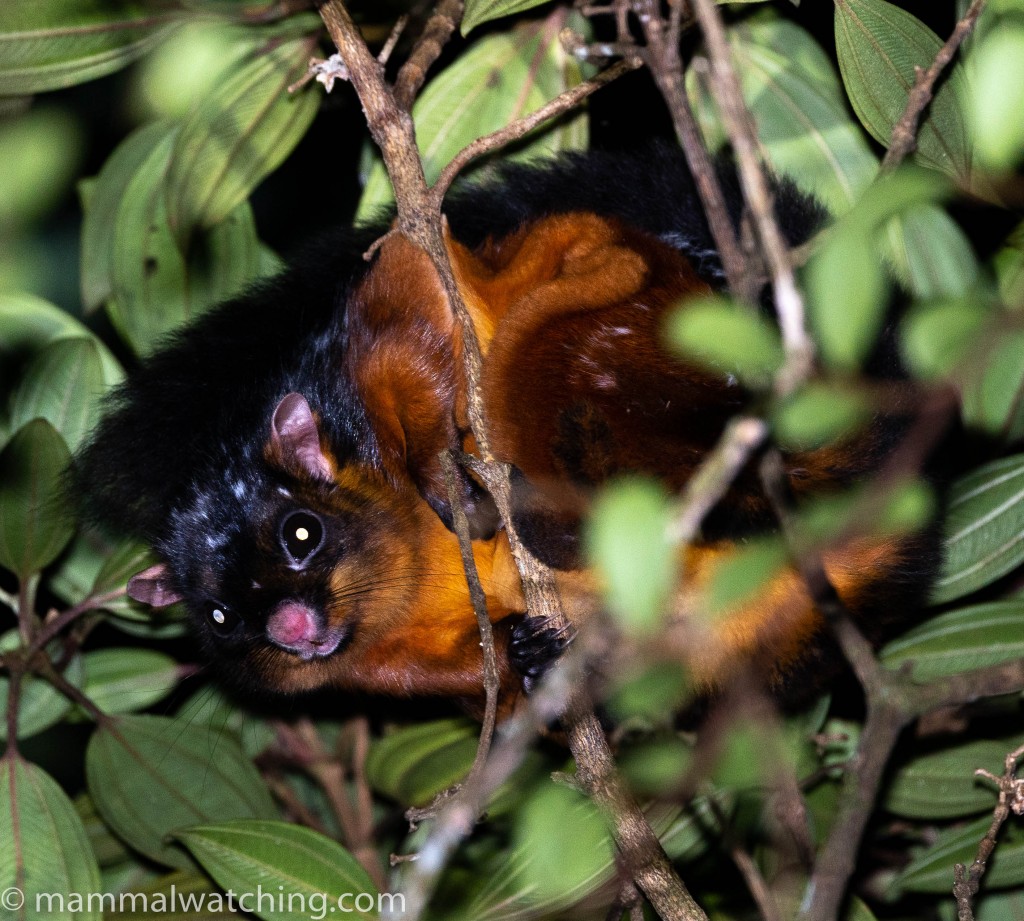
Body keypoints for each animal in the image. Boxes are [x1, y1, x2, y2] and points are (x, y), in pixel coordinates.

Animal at [73, 145, 939, 717]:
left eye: (300, 534)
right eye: (221, 617)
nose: (291, 627)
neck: (411, 565)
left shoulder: (349, 372)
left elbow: (412, 287)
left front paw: (441, 472)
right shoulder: (368, 665)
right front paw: (522, 654)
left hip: (630, 325)